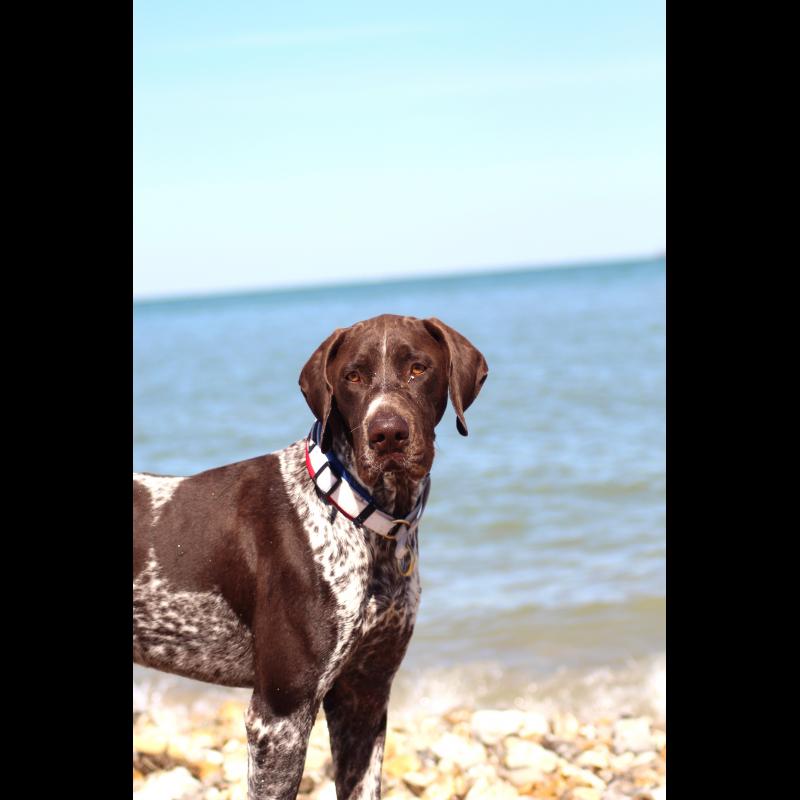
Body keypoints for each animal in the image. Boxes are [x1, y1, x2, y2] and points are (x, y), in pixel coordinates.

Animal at [133, 313, 488, 799]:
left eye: (419, 368)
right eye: (352, 377)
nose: (387, 434)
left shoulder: (363, 696)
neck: (363, 517)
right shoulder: (280, 714)